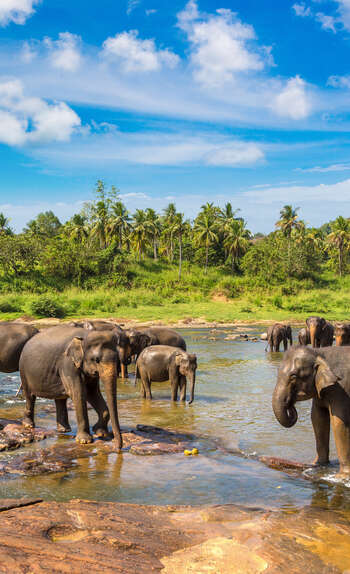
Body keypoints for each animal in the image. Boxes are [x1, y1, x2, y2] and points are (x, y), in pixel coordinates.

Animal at [272, 346, 350, 476]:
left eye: (293, 376)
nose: (290, 404)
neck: (319, 353)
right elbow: (317, 418)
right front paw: (317, 464)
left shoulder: (341, 389)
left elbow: (339, 423)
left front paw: (342, 476)